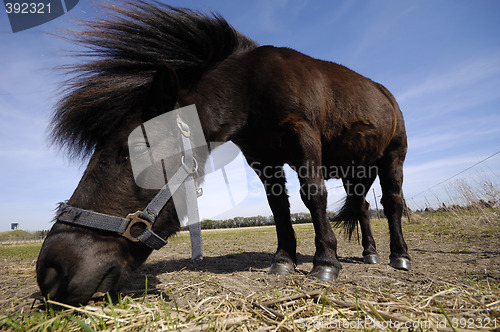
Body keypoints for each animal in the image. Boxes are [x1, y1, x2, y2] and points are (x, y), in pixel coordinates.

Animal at [37, 1, 408, 304]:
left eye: (133, 149)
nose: (50, 271)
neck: (253, 87)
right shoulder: (261, 157)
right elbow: (278, 207)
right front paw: (283, 260)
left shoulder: (304, 136)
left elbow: (313, 195)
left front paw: (326, 262)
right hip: (354, 170)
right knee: (363, 208)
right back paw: (370, 254)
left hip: (393, 157)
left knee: (391, 204)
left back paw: (399, 257)